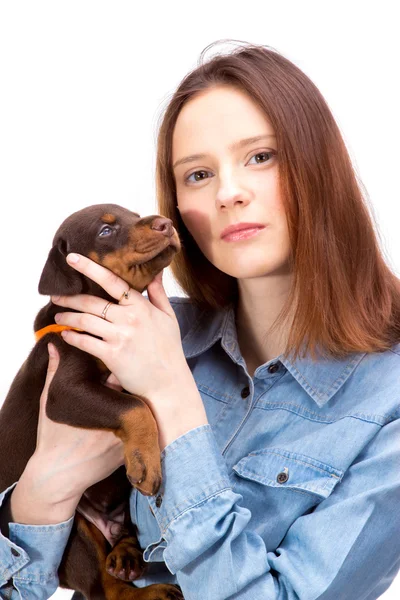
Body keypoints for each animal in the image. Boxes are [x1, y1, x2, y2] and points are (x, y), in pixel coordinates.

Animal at [0, 204, 184, 596]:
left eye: (135, 215)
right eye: (105, 231)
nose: (166, 224)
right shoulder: (64, 390)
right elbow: (135, 407)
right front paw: (146, 462)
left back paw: (127, 556)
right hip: (73, 529)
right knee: (105, 589)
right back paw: (149, 591)